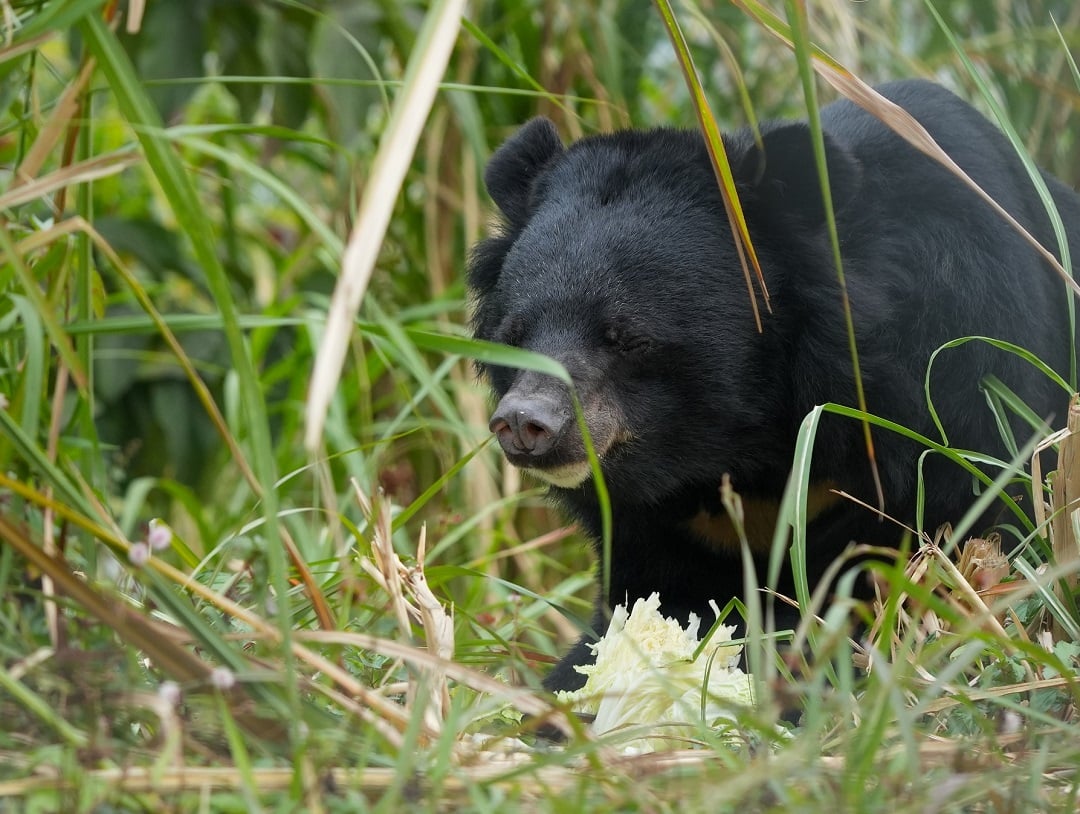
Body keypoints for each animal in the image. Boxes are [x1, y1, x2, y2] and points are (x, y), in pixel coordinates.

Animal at [470, 79, 1080, 690]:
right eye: (515, 335)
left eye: (623, 337)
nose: (525, 422)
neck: (739, 443)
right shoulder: (658, 520)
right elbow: (653, 598)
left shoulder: (963, 391)